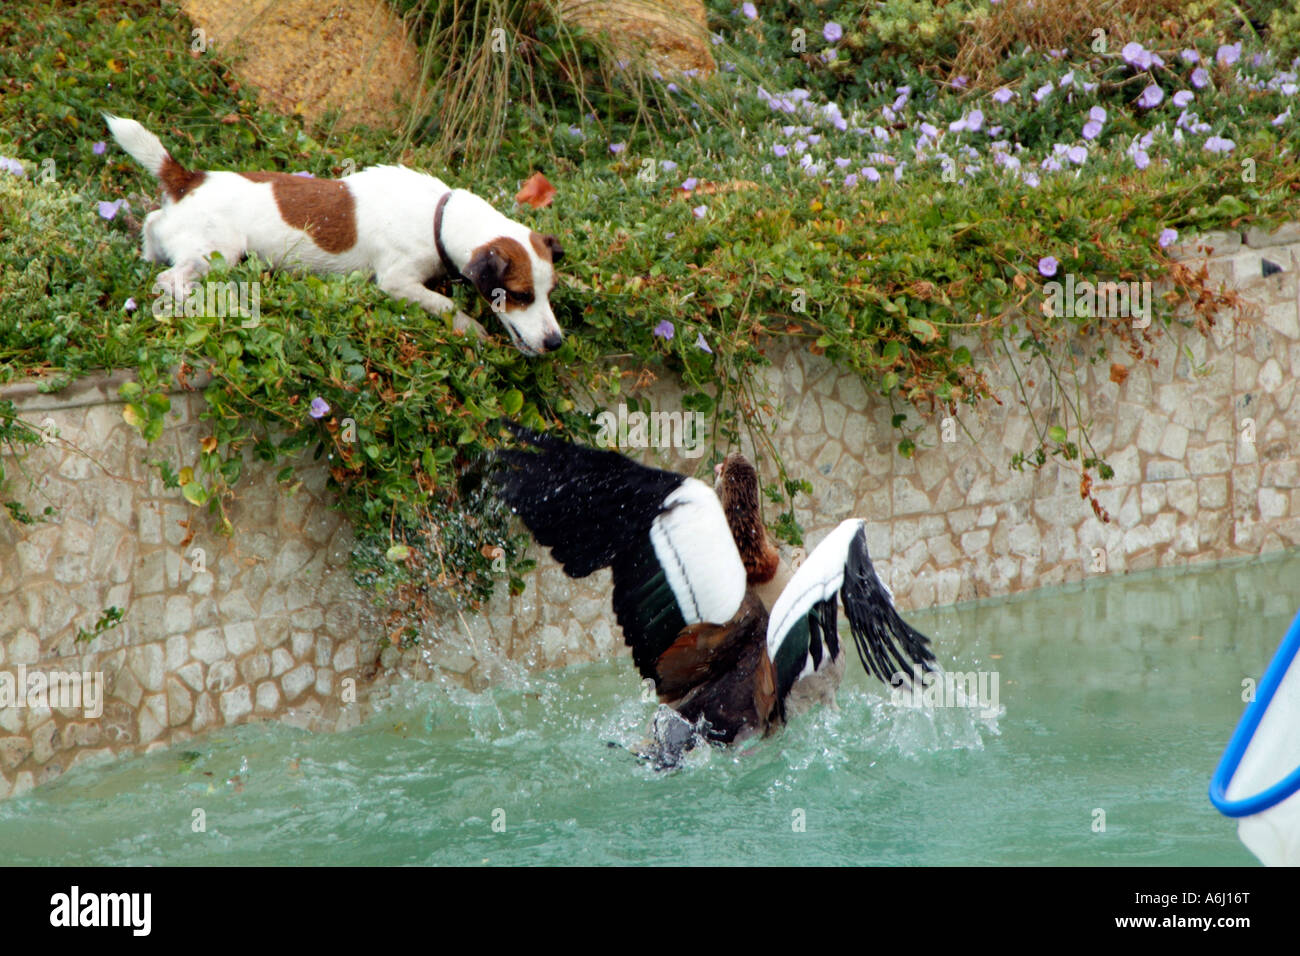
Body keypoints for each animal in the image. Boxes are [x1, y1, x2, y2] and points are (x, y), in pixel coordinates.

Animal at [101, 115, 569, 356]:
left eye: (548, 293)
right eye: (520, 294)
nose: (556, 342)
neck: (440, 216)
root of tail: (187, 178)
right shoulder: (397, 281)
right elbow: (444, 303)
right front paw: (468, 326)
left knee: (152, 229)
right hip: (218, 253)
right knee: (171, 281)